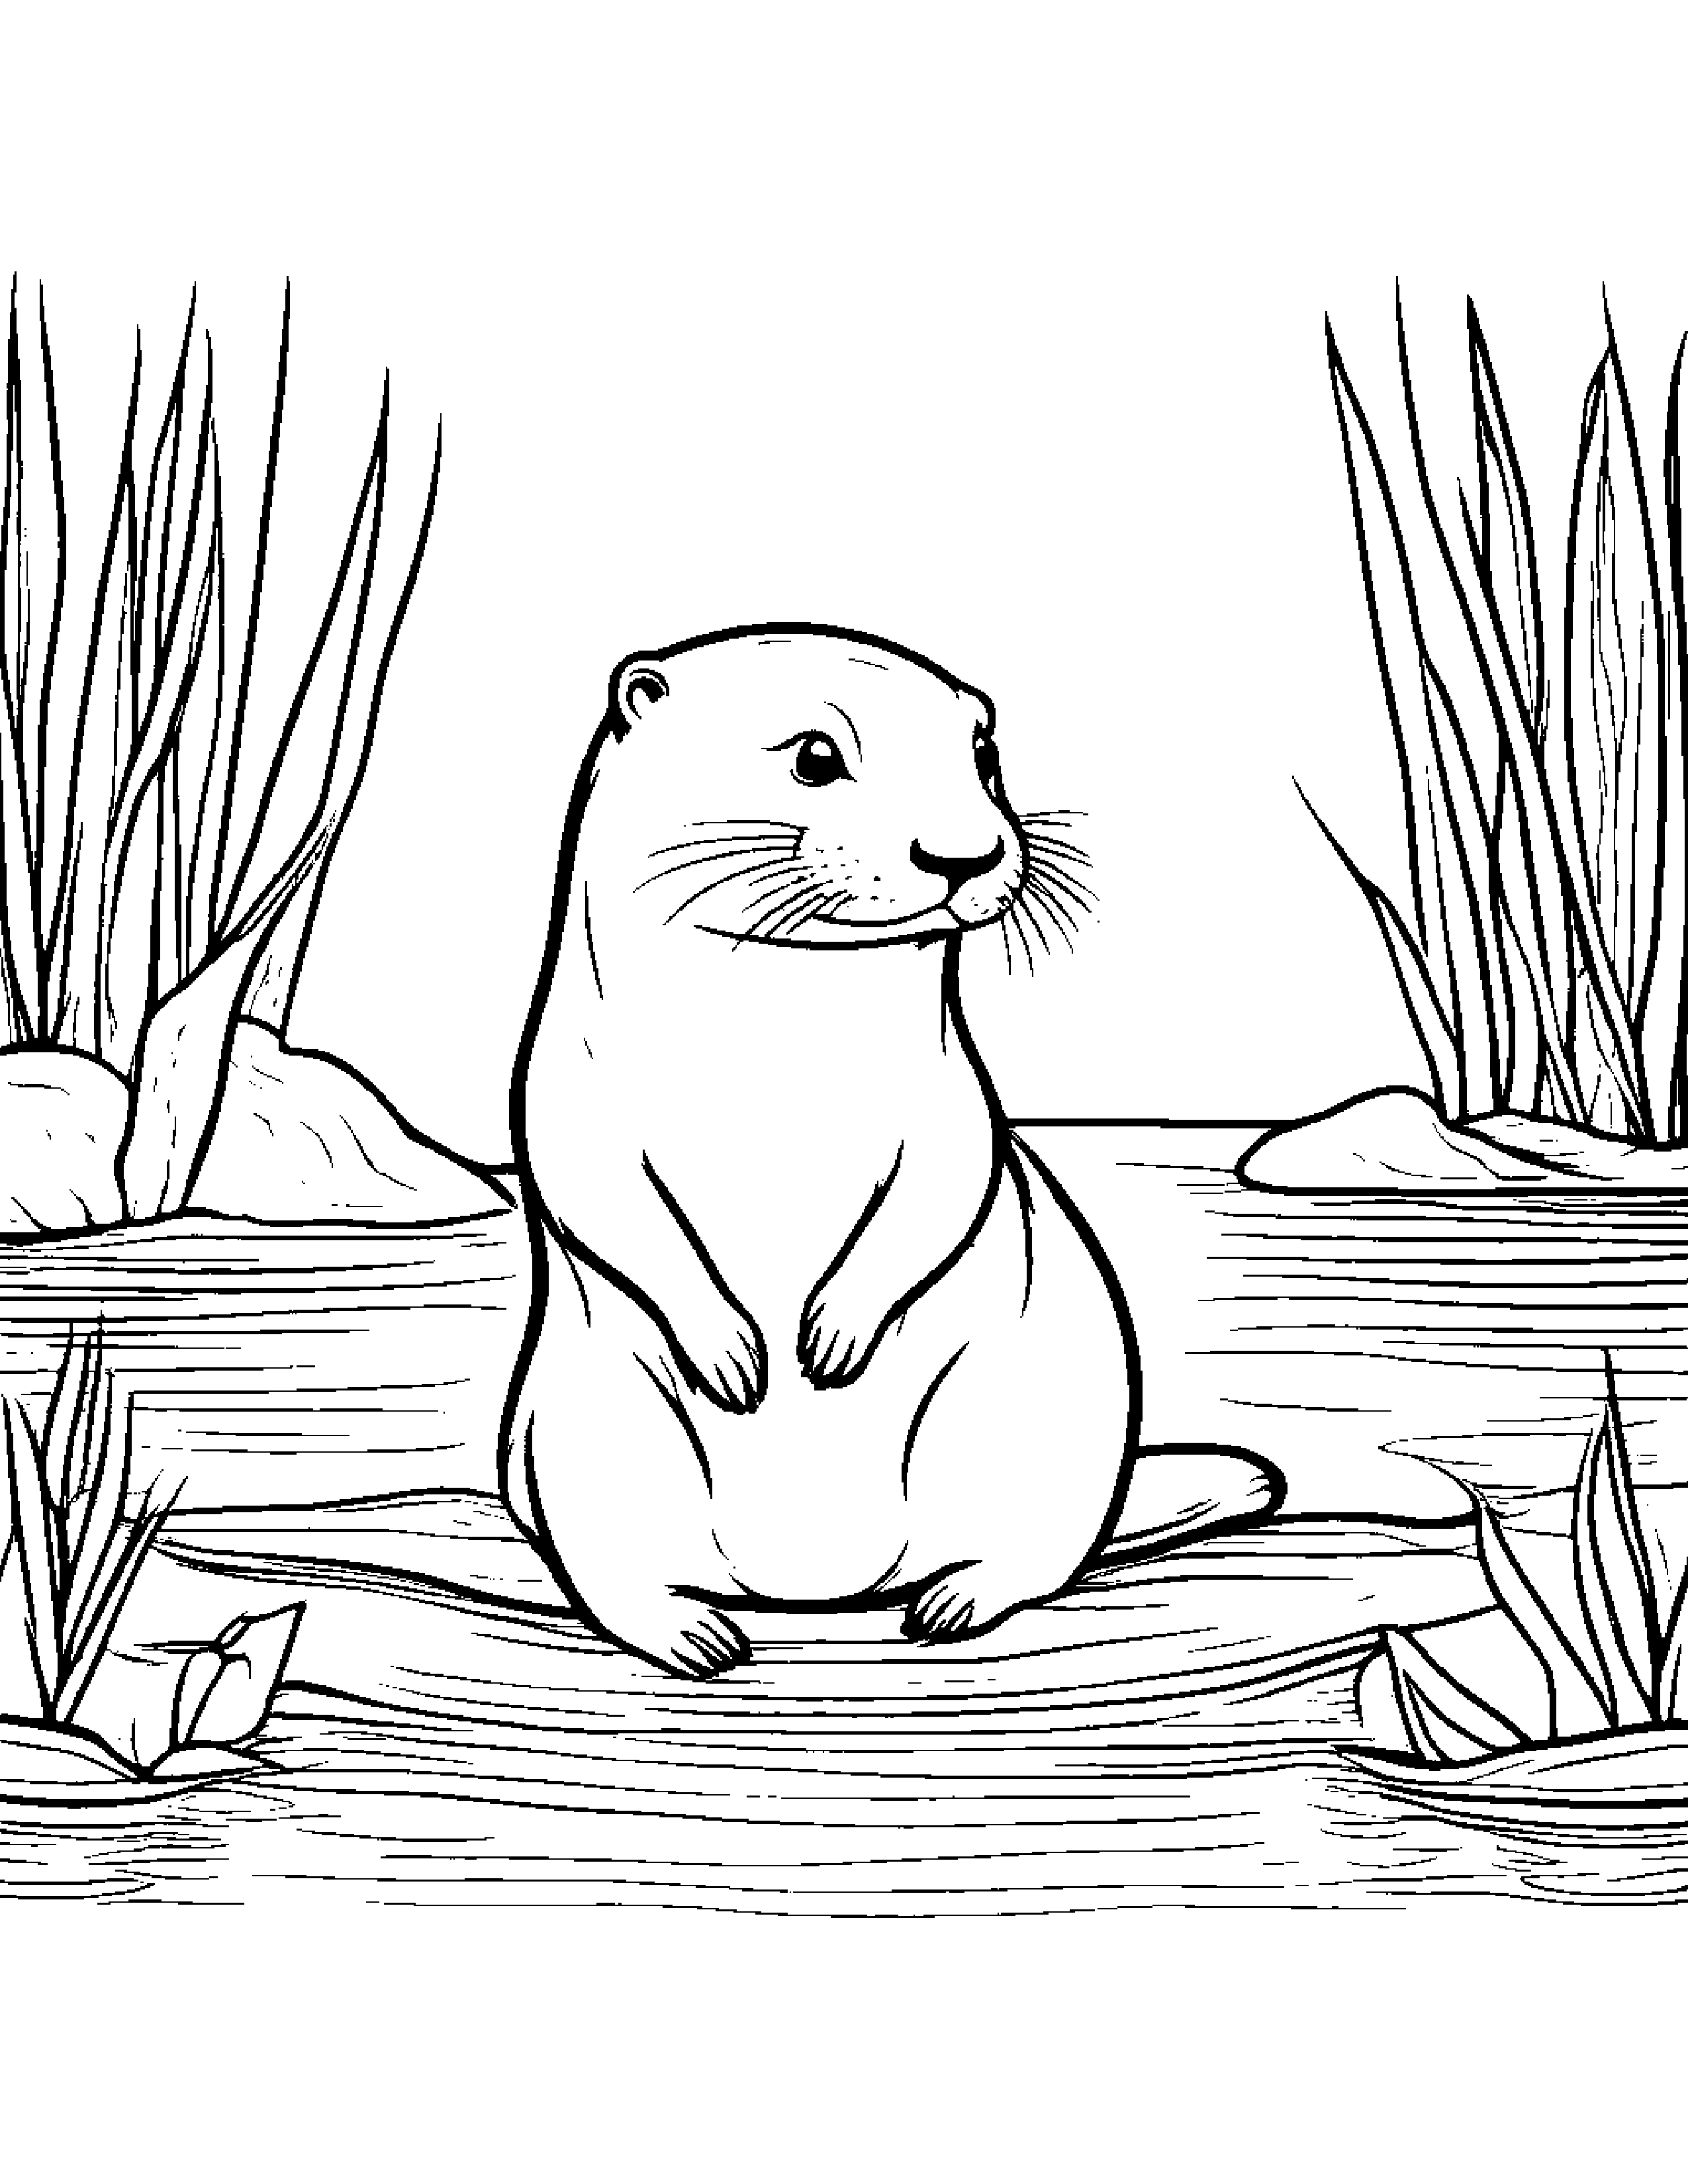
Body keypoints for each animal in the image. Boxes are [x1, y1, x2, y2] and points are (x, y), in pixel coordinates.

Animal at [500, 624, 1141, 1677]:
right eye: (814, 756)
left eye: (981, 755)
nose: (964, 853)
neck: (783, 1062)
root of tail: (814, 1588)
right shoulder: (567, 1088)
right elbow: (599, 1196)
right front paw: (731, 1355)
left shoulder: (948, 1094)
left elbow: (946, 1184)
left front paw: (833, 1335)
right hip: (597, 1431)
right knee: (615, 1571)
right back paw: (693, 1636)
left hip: (1043, 1418)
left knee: (1033, 1553)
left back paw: (952, 1601)